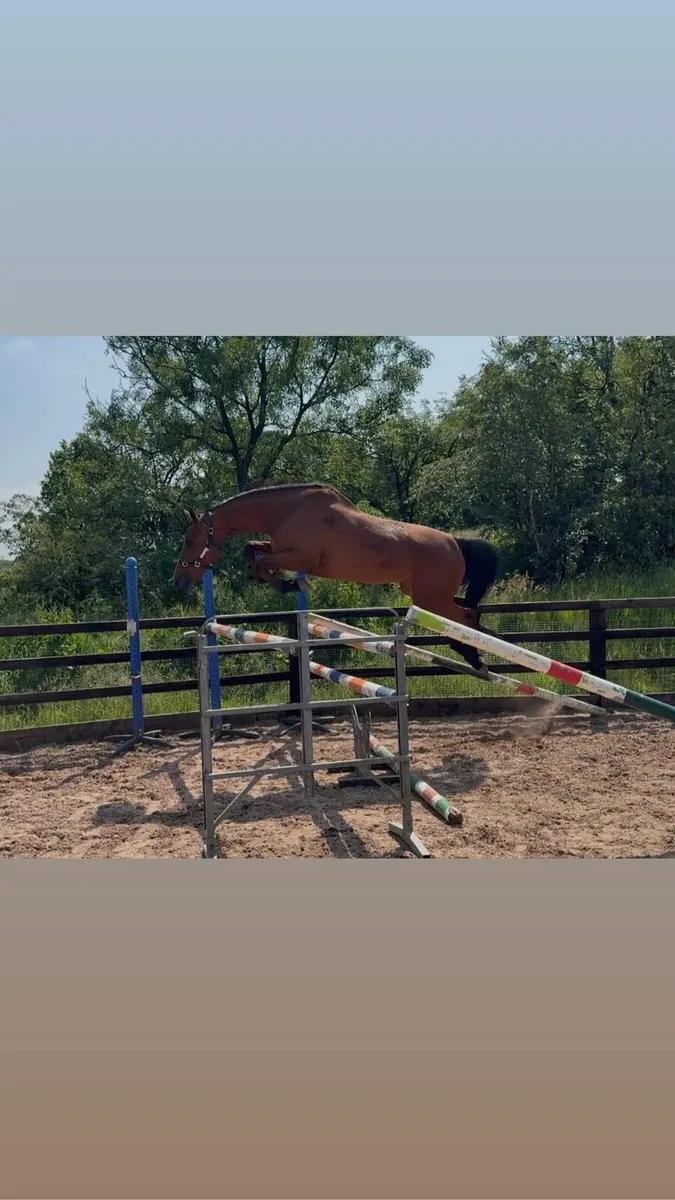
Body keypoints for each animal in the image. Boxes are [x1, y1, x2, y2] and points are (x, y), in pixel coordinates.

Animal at [172, 482, 499, 674]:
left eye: (190, 540)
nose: (178, 581)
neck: (288, 510)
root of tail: (455, 542)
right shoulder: (280, 549)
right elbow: (252, 549)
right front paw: (283, 582)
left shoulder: (302, 558)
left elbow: (260, 559)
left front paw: (288, 583)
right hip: (424, 596)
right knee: (466, 615)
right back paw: (475, 657)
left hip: (429, 600)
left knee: (466, 617)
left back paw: (477, 658)